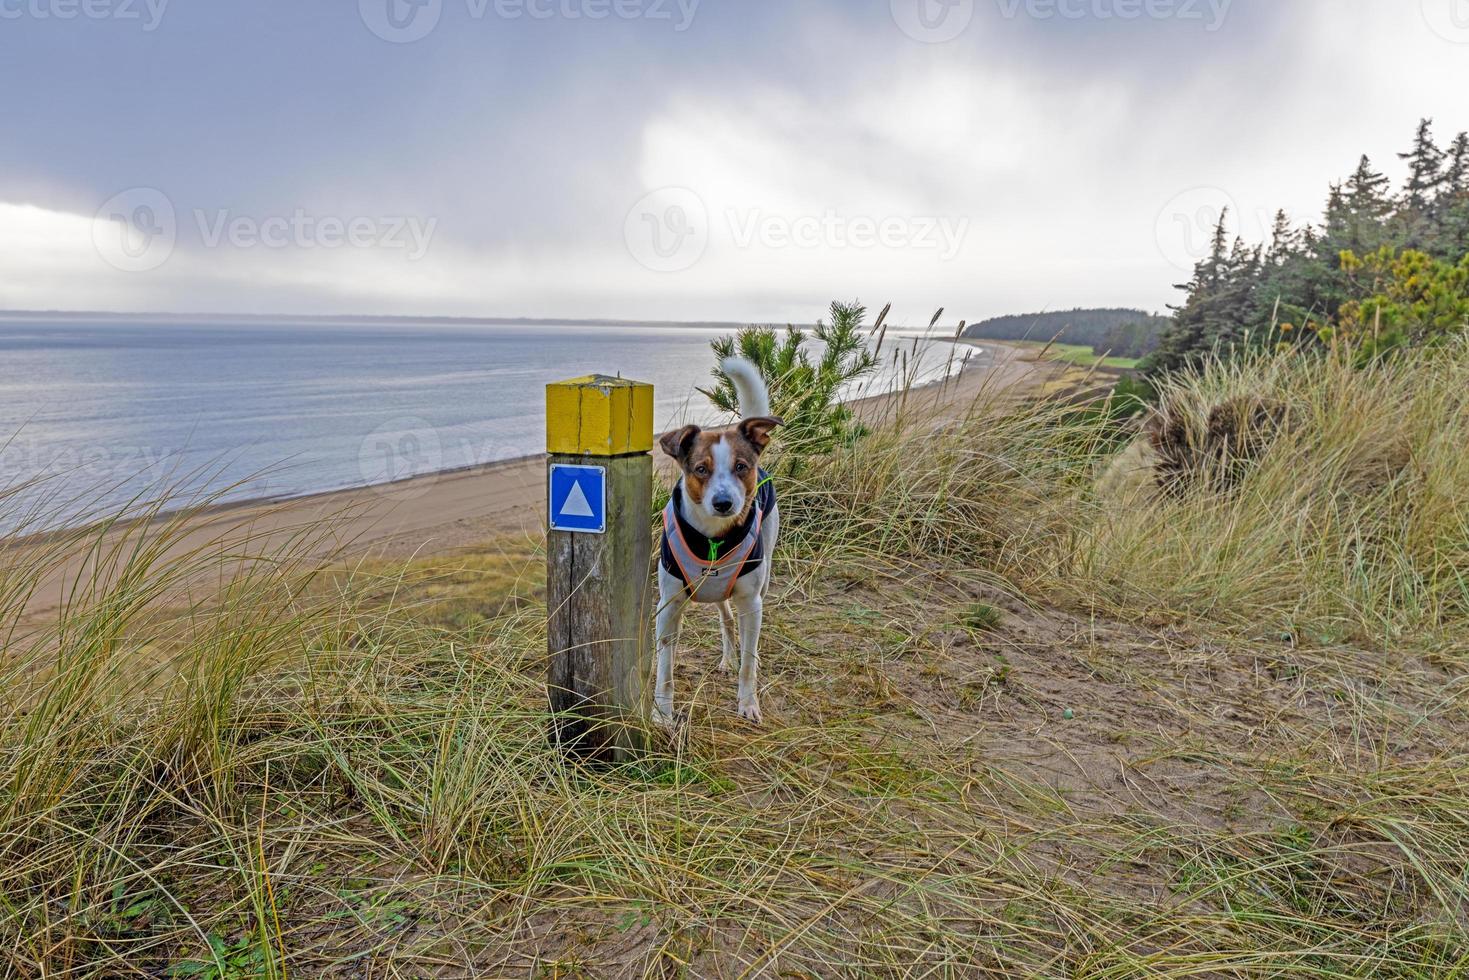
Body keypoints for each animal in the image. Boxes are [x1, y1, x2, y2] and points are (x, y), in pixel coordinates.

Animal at [658, 357, 787, 725]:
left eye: (741, 466)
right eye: (701, 469)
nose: (723, 503)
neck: (713, 537)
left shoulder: (752, 604)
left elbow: (749, 663)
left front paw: (748, 702)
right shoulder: (668, 607)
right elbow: (665, 670)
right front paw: (662, 713)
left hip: (760, 577)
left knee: (739, 630)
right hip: (711, 593)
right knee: (726, 620)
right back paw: (727, 657)